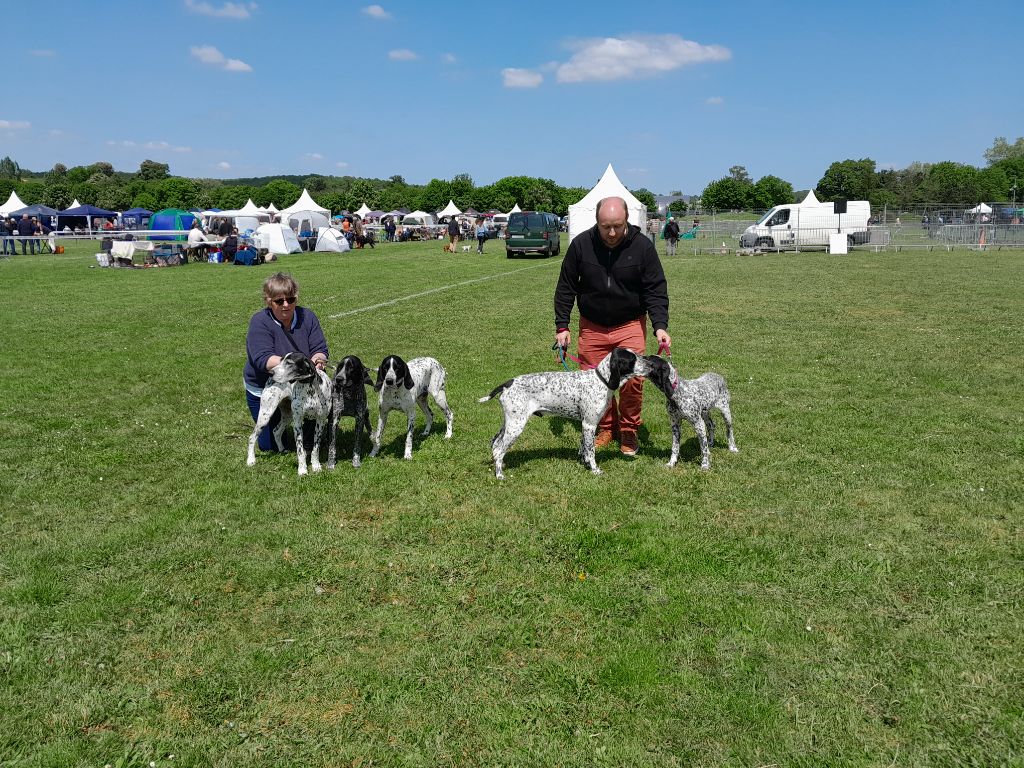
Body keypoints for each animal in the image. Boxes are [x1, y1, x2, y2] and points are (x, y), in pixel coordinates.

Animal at [477, 348, 651, 481]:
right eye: (632, 359)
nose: (650, 363)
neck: (601, 381)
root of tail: (508, 383)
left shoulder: (585, 425)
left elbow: (584, 448)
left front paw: (585, 463)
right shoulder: (589, 424)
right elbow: (591, 451)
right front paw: (595, 470)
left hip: (509, 423)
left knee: (495, 444)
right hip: (516, 426)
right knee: (499, 450)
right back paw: (500, 475)